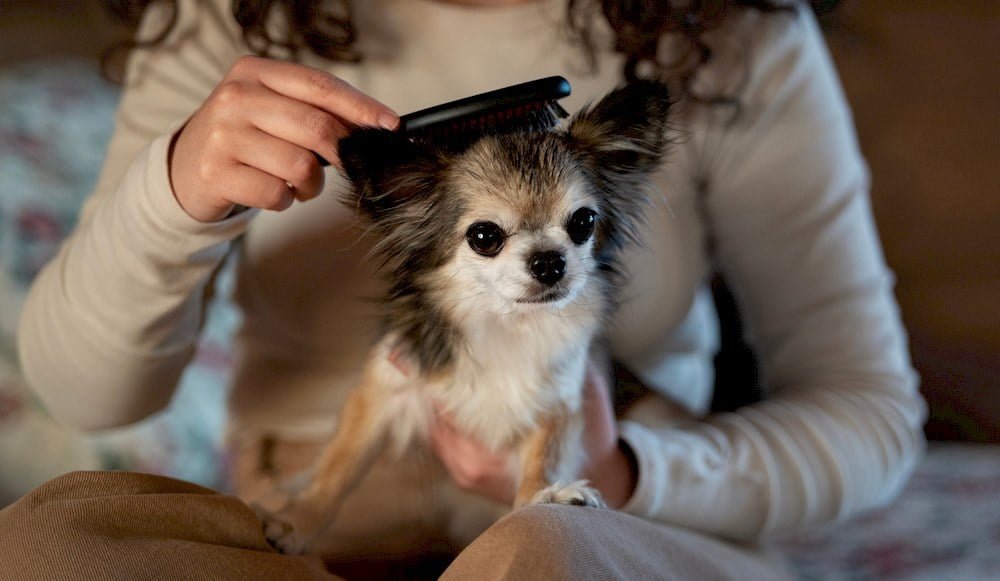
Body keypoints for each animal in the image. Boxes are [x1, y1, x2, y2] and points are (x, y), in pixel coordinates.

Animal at [262, 78, 676, 552]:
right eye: (484, 237)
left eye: (583, 222)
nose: (549, 261)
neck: (504, 323)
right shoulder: (387, 389)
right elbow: (341, 463)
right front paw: (299, 520)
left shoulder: (558, 405)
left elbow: (545, 460)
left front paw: (543, 498)